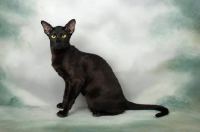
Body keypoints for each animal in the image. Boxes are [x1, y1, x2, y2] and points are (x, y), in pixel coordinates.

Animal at [40, 18, 169, 117]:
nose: (58, 42)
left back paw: (98, 113)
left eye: (63, 35)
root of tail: (124, 99)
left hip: (91, 97)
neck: (59, 55)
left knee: (120, 110)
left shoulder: (77, 80)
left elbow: (71, 97)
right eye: (53, 36)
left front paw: (64, 112)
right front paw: (62, 105)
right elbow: (66, 94)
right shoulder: (67, 81)